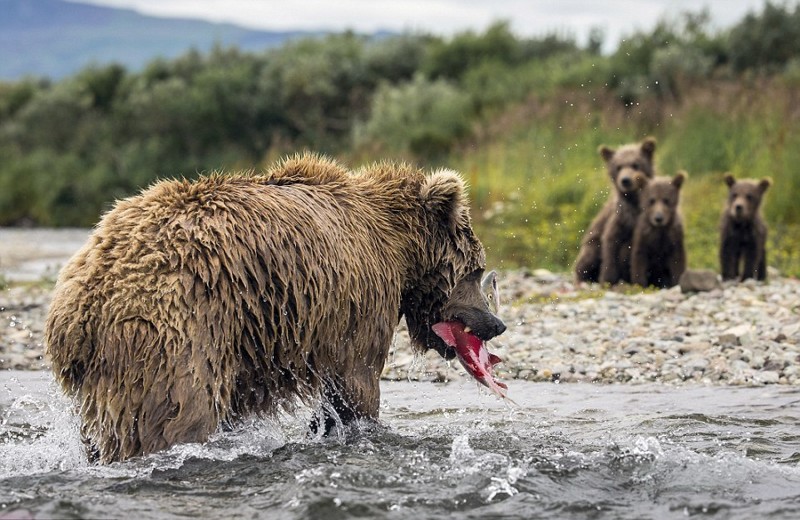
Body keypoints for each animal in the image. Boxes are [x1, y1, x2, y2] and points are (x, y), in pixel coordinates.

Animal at [43, 152, 506, 462]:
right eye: (476, 269)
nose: (495, 323)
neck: (397, 246)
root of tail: (79, 308)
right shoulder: (360, 302)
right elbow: (356, 385)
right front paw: (358, 428)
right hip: (173, 335)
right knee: (175, 415)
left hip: (106, 374)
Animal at [576, 137, 656, 284]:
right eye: (618, 167)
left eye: (636, 164)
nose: (626, 180)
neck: (634, 202)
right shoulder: (620, 218)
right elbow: (610, 244)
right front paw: (608, 278)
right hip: (591, 244)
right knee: (588, 258)